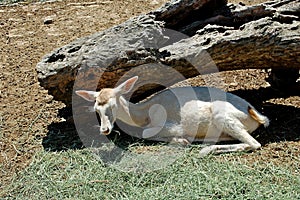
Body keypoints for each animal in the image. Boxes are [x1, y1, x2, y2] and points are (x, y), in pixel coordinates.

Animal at [75, 76, 270, 155]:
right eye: (96, 109)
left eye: (113, 106)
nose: (105, 129)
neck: (143, 114)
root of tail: (256, 114)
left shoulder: (170, 125)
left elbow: (147, 133)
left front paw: (181, 140)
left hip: (222, 116)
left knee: (254, 143)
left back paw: (204, 150)